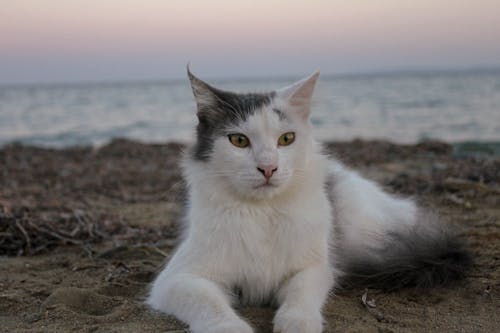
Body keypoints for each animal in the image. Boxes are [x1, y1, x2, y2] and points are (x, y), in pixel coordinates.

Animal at [146, 68, 470, 330]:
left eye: (286, 139)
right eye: (239, 141)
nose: (268, 168)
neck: (264, 212)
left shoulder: (314, 267)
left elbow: (300, 298)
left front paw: (296, 324)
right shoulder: (179, 278)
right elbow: (211, 306)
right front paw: (231, 328)